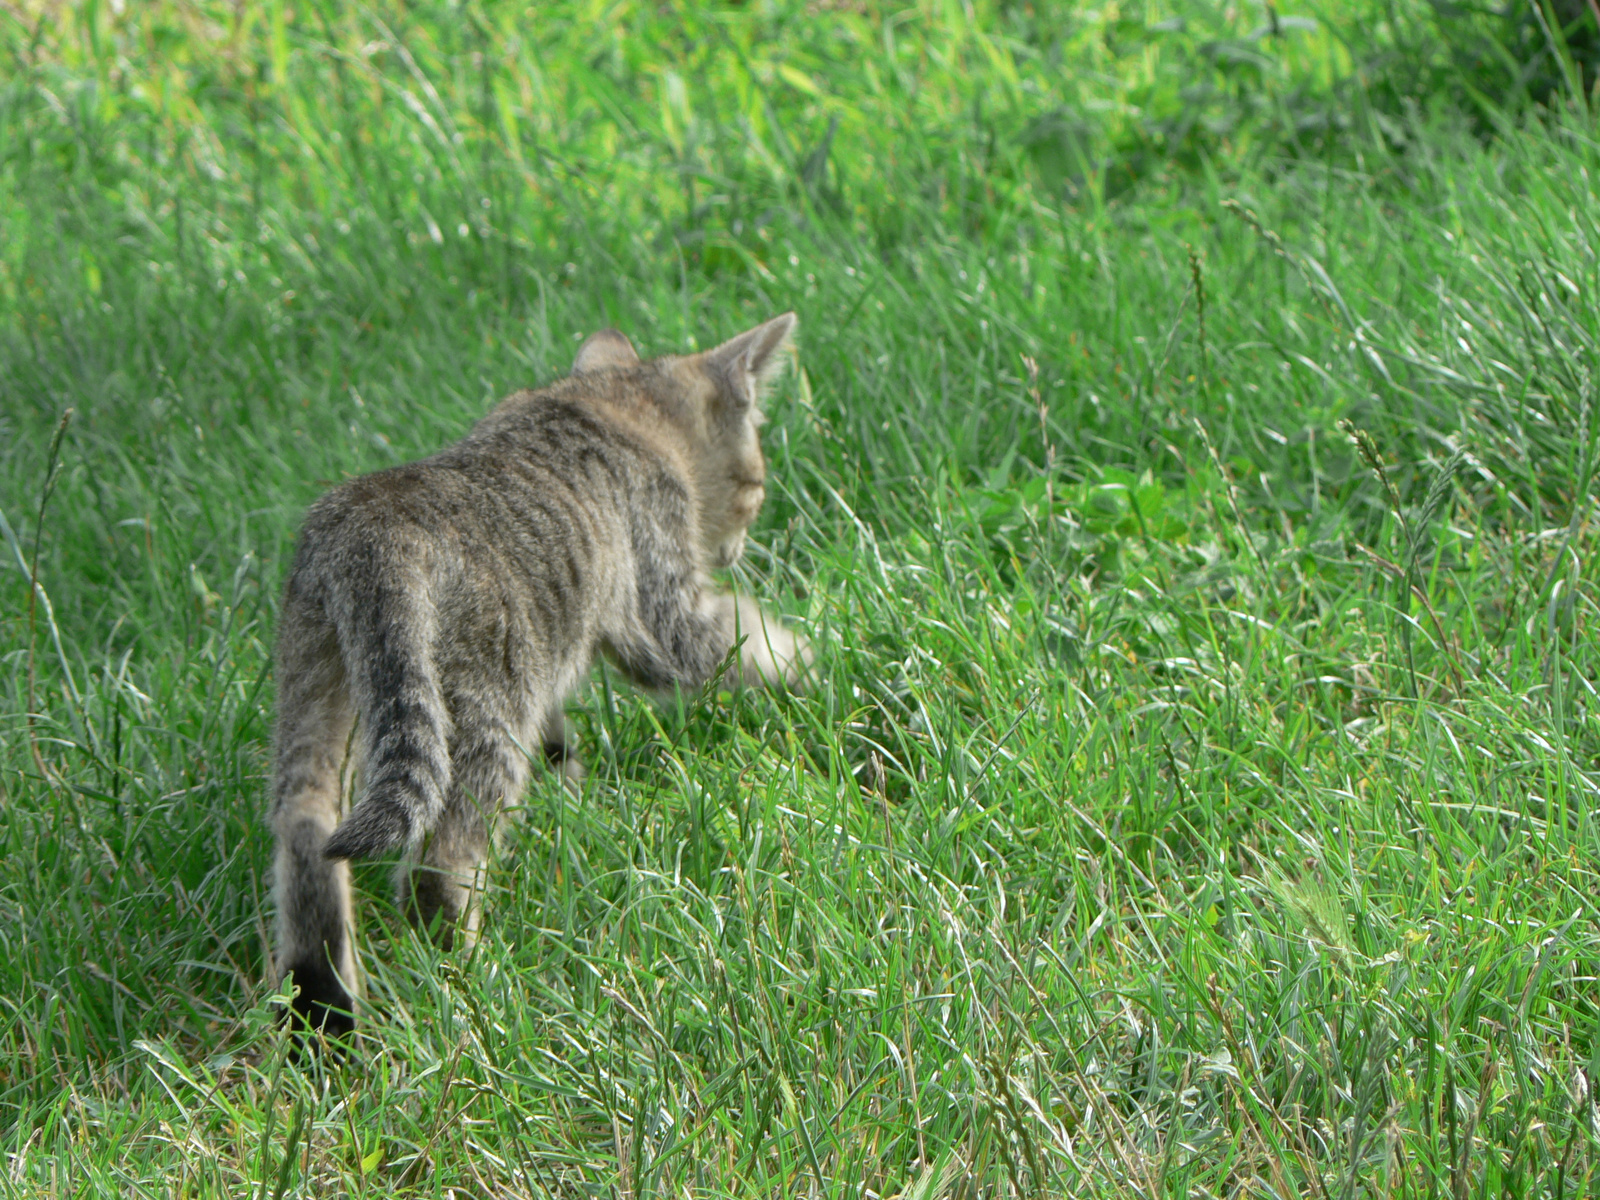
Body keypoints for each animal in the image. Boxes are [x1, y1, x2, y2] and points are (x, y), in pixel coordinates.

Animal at [270, 315, 812, 1036]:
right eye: (756, 489)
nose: (737, 548)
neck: (611, 398)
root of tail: (369, 526)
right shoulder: (664, 616)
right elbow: (741, 643)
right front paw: (817, 663)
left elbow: (559, 738)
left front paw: (571, 781)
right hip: (484, 707)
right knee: (441, 862)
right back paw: (475, 986)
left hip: (318, 689)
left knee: (304, 827)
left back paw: (324, 1006)